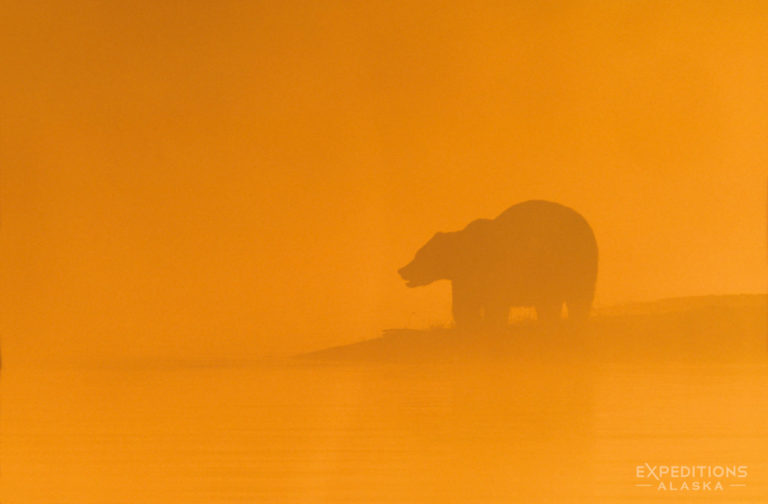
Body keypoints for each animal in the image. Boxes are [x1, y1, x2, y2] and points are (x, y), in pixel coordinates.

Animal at [398, 200, 598, 329]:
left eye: (420, 254)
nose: (402, 270)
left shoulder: (489, 274)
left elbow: (481, 306)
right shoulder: (466, 278)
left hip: (568, 264)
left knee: (576, 300)